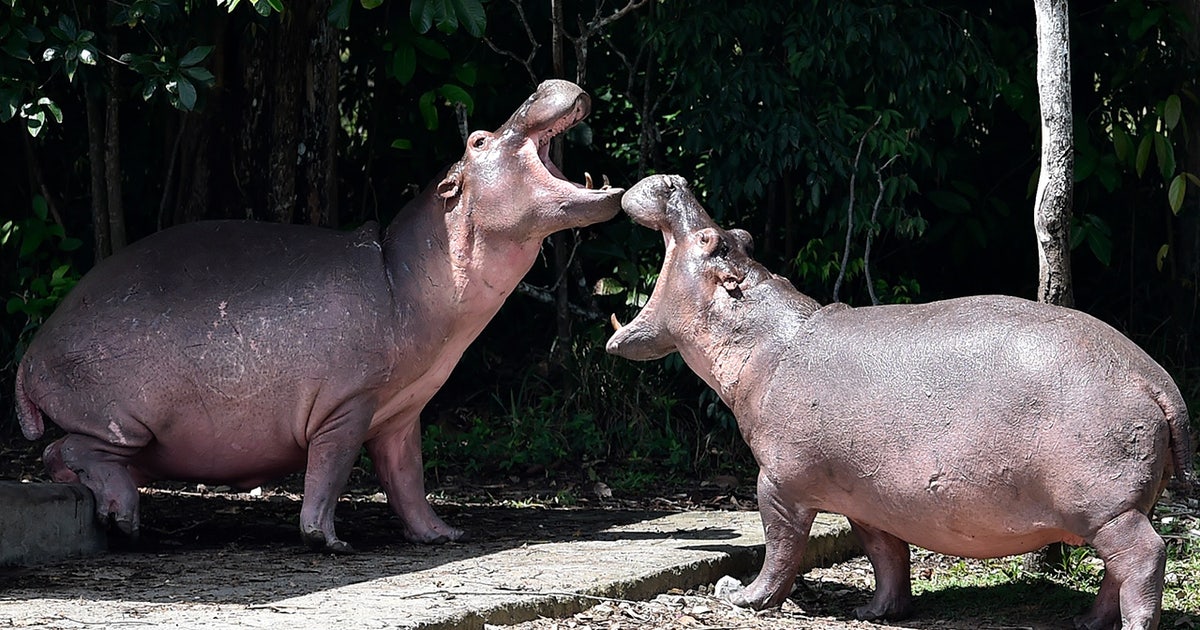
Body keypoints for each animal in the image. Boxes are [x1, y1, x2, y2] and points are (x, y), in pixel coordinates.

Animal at [15, 80, 623, 553]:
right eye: (476, 140)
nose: (543, 85)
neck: (404, 272)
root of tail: (30, 355)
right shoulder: (346, 405)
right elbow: (329, 473)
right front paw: (329, 541)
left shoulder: (402, 411)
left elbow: (408, 480)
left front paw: (442, 536)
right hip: (125, 422)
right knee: (67, 450)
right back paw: (124, 519)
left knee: (62, 454)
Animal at [606, 174, 1196, 630]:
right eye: (739, 235)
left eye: (709, 240)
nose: (674, 180)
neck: (764, 339)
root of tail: (1155, 378)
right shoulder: (865, 496)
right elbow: (885, 554)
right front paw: (876, 612)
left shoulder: (778, 483)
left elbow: (780, 549)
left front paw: (740, 594)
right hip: (1119, 507)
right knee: (1116, 570)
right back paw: (1086, 622)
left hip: (1108, 508)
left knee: (1143, 558)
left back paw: (1130, 625)